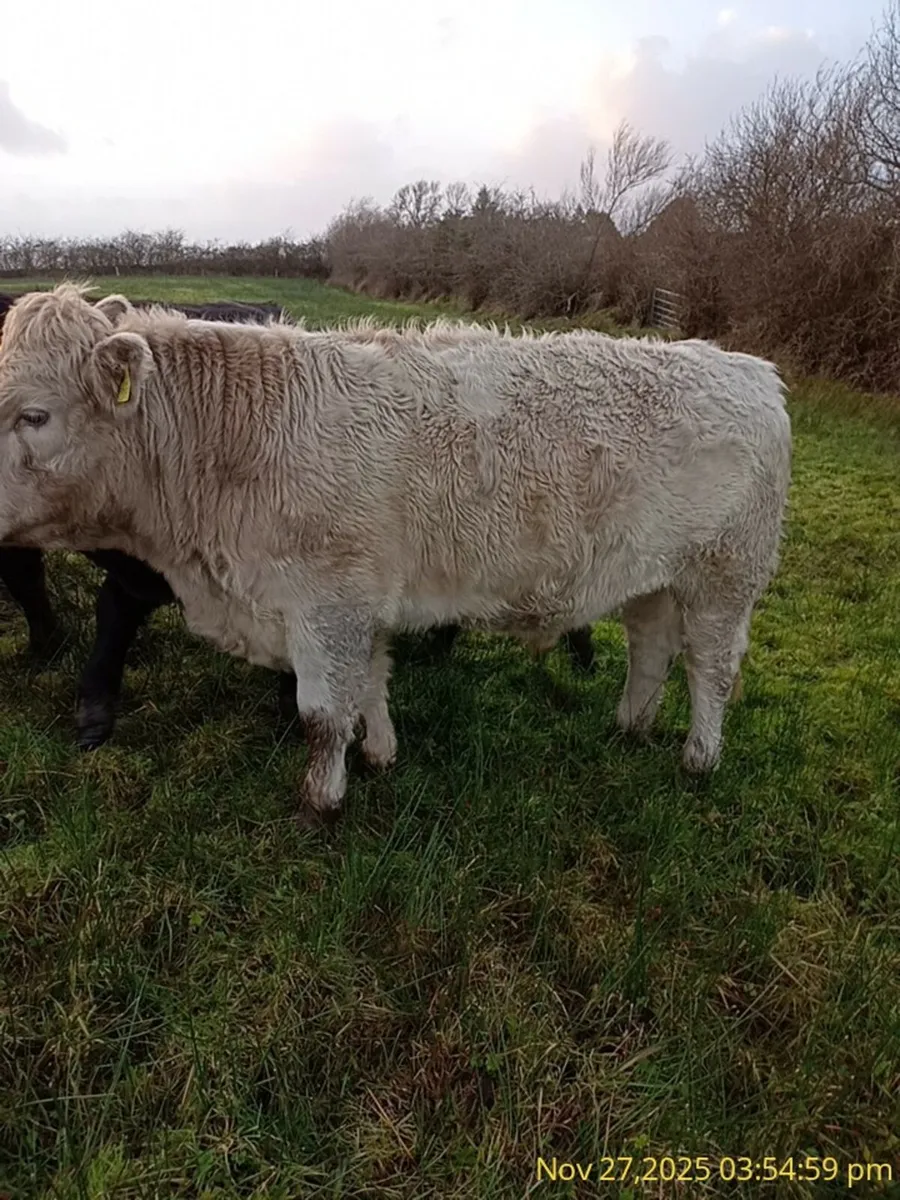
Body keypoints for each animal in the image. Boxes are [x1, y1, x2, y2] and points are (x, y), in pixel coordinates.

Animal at [0, 284, 791, 827]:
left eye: (33, 415)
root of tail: (748, 368)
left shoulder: (328, 604)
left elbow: (322, 713)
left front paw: (320, 802)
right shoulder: (360, 599)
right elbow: (371, 684)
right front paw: (380, 755)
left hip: (725, 573)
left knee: (712, 668)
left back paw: (698, 759)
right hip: (650, 575)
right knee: (651, 647)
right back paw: (630, 728)